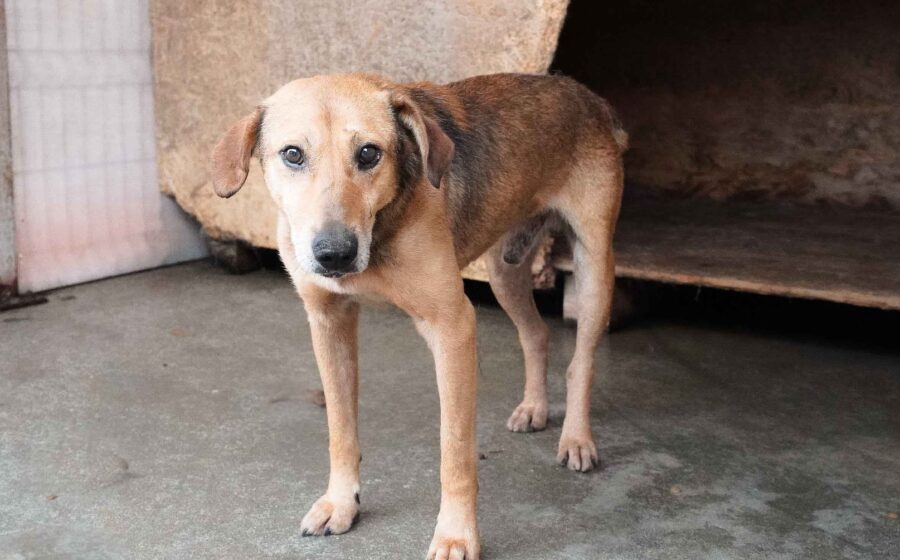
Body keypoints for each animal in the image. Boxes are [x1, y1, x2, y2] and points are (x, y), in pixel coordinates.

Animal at [211, 72, 626, 559]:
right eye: (293, 154)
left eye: (369, 153)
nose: (334, 254)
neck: (380, 228)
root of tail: (587, 95)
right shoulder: (328, 321)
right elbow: (340, 428)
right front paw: (341, 503)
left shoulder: (453, 326)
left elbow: (455, 452)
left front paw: (456, 535)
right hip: (503, 272)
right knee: (536, 334)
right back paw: (533, 408)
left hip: (594, 267)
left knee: (581, 361)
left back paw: (577, 438)